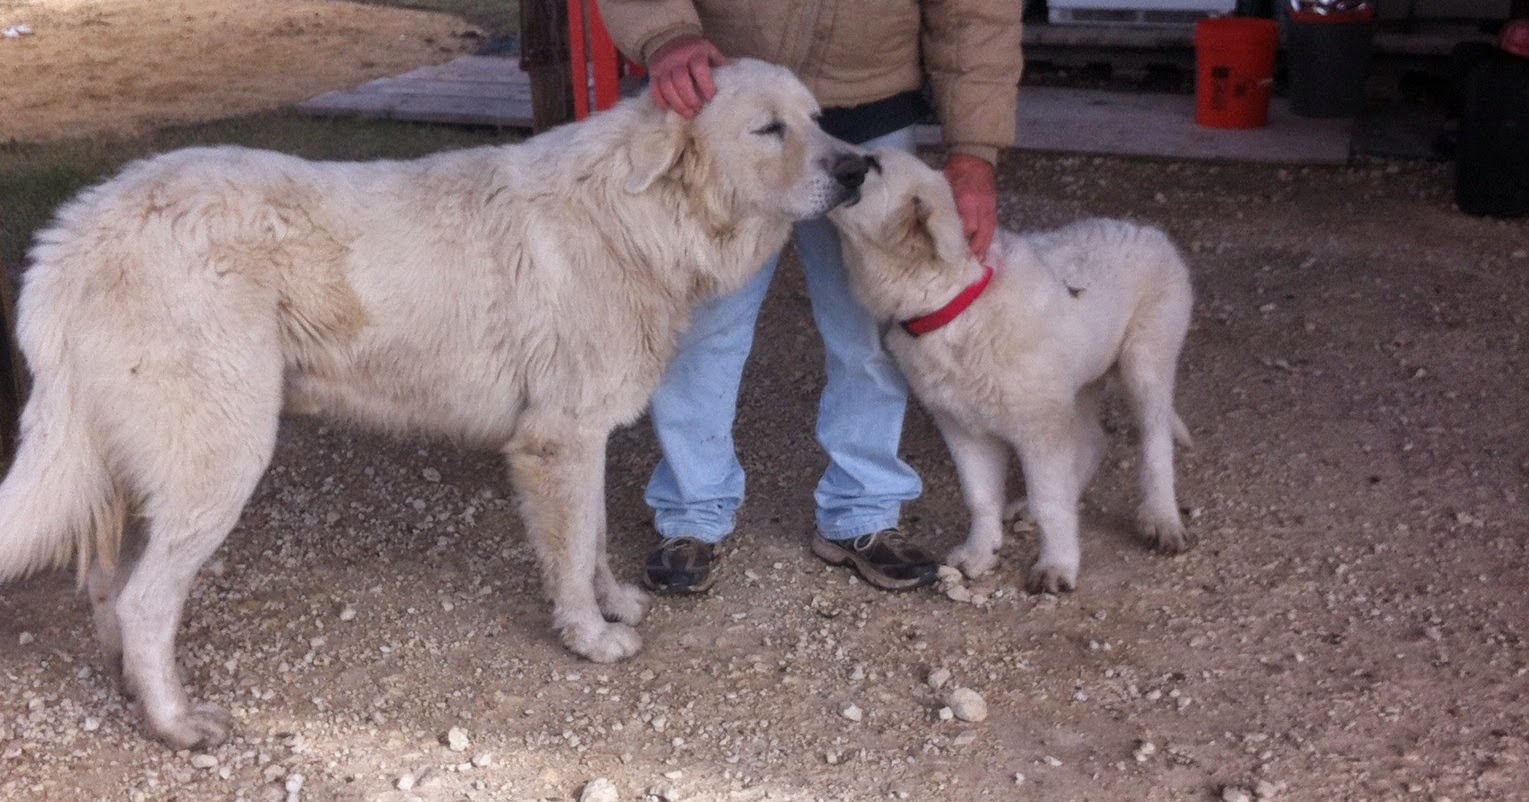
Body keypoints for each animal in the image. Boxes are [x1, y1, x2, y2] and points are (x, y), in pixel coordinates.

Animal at [0, 58, 871, 748]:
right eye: (768, 129)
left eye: (818, 119)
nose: (861, 168)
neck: (642, 214)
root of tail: (73, 234)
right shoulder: (558, 442)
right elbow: (570, 552)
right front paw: (588, 639)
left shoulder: (580, 440)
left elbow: (592, 542)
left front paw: (613, 604)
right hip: (221, 461)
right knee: (147, 602)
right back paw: (176, 722)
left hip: (138, 470)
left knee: (107, 584)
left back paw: (130, 687)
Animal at [828, 149, 1194, 594]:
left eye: (874, 165)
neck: (955, 303)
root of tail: (1148, 231)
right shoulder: (961, 425)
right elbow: (981, 497)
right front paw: (980, 552)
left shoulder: (1040, 427)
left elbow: (1052, 501)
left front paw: (1057, 565)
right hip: (1078, 383)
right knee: (1093, 442)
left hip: (1145, 364)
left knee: (1156, 445)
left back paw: (1162, 519)